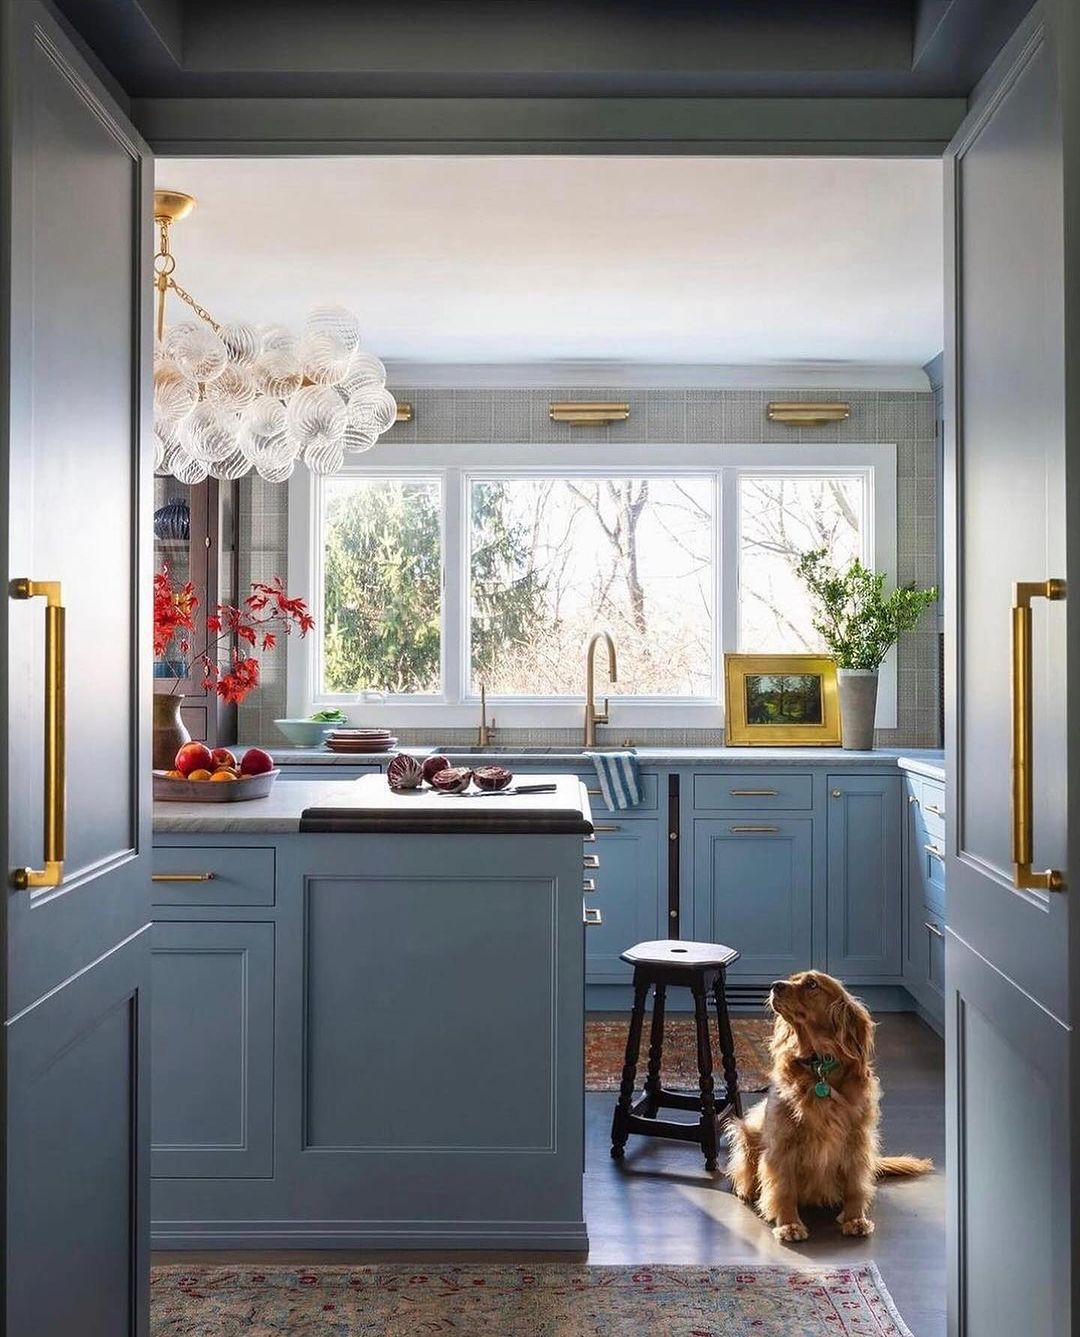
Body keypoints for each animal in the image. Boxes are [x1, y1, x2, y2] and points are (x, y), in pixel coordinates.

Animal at [732, 973, 930, 1240]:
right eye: (793, 978)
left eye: (811, 984)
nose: (775, 985)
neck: (819, 1066)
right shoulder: (783, 1142)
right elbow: (783, 1188)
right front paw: (789, 1225)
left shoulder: (857, 1139)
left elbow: (855, 1185)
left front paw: (855, 1219)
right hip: (749, 1129)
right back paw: (748, 1190)